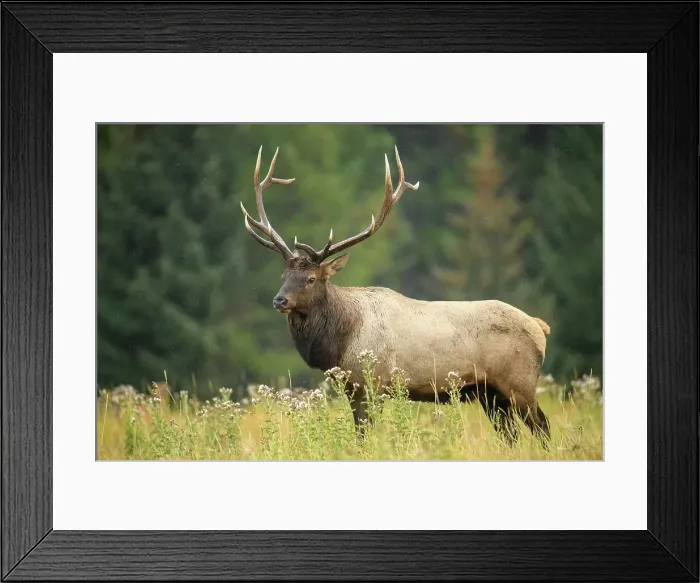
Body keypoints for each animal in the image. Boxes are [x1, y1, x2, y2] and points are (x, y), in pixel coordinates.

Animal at [240, 146, 552, 446]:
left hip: (520, 382)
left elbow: (367, 433)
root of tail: (540, 327)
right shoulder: (352, 388)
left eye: (311, 279)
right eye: (284, 277)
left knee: (542, 425)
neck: (340, 341)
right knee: (510, 435)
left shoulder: (375, 382)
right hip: (490, 393)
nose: (279, 300)